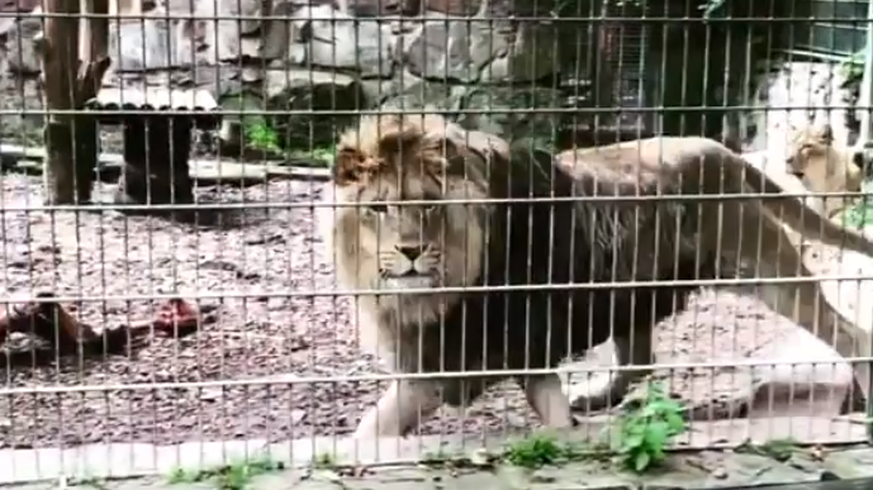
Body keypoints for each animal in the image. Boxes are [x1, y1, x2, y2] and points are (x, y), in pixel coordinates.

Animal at [318, 114, 872, 436]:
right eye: (379, 208)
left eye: (429, 205)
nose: (410, 250)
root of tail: (723, 150)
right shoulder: (521, 343)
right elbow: (552, 409)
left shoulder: (448, 359)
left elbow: (370, 431)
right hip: (633, 291)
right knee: (639, 360)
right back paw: (596, 397)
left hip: (763, 266)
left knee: (850, 333)